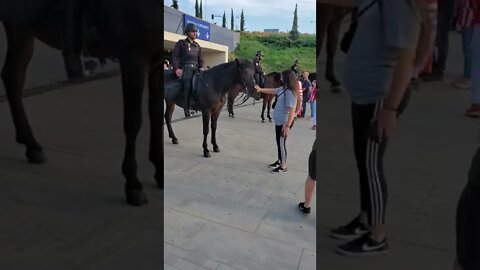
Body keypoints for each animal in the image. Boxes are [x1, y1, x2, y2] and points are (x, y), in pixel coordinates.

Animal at [0, 0, 164, 206]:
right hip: (19, 28)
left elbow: (156, 114)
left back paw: (32, 146)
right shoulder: (134, 59)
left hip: (22, 31)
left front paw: (160, 171)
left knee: (13, 78)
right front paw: (133, 184)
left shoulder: (157, 63)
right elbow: (134, 121)